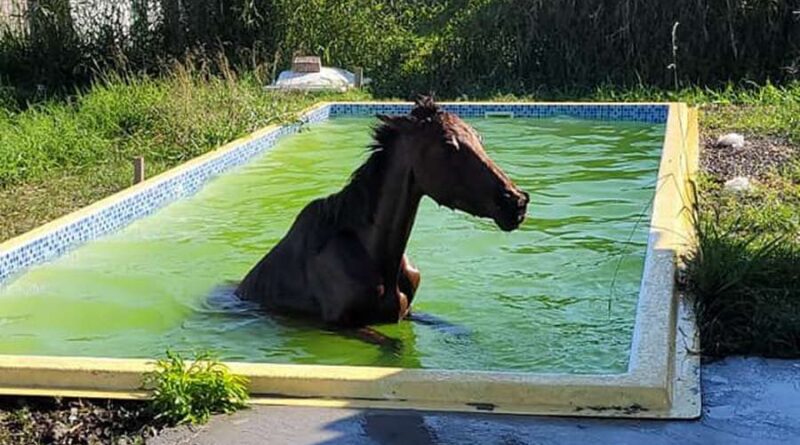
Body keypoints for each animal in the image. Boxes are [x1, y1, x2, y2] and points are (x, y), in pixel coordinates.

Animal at [234, 96, 528, 326]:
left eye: (479, 138)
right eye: (448, 144)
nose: (516, 202)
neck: (379, 255)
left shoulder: (408, 313)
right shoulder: (342, 325)